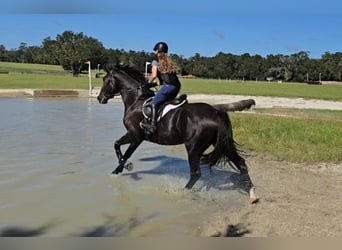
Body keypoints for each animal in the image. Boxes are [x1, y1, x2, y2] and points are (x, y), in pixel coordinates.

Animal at [97, 64, 258, 203]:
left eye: (105, 80)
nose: (100, 98)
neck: (136, 100)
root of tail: (216, 112)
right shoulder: (135, 136)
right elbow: (120, 148)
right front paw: (119, 169)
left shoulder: (136, 135)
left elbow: (122, 150)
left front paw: (123, 168)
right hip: (222, 143)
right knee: (241, 163)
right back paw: (252, 194)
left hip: (193, 148)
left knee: (196, 173)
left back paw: (182, 191)